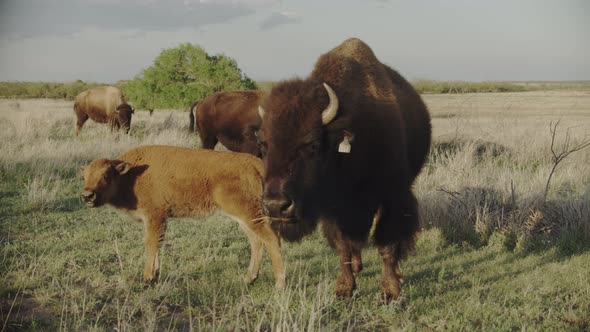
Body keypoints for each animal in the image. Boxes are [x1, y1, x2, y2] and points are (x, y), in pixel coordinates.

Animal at [256, 37, 432, 302]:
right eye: (264, 145)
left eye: (312, 143)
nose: (276, 206)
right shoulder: (334, 209)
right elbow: (343, 245)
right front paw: (344, 288)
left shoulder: (392, 196)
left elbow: (387, 243)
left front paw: (390, 292)